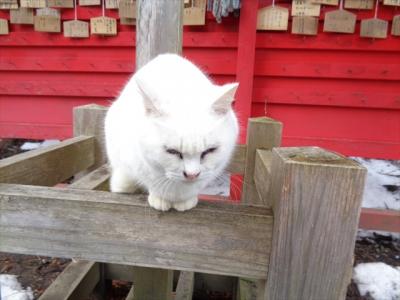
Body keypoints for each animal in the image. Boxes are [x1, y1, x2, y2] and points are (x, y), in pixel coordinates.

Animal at [104, 54, 239, 213]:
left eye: (209, 151)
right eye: (172, 151)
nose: (192, 175)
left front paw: (185, 201)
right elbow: (153, 183)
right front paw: (160, 199)